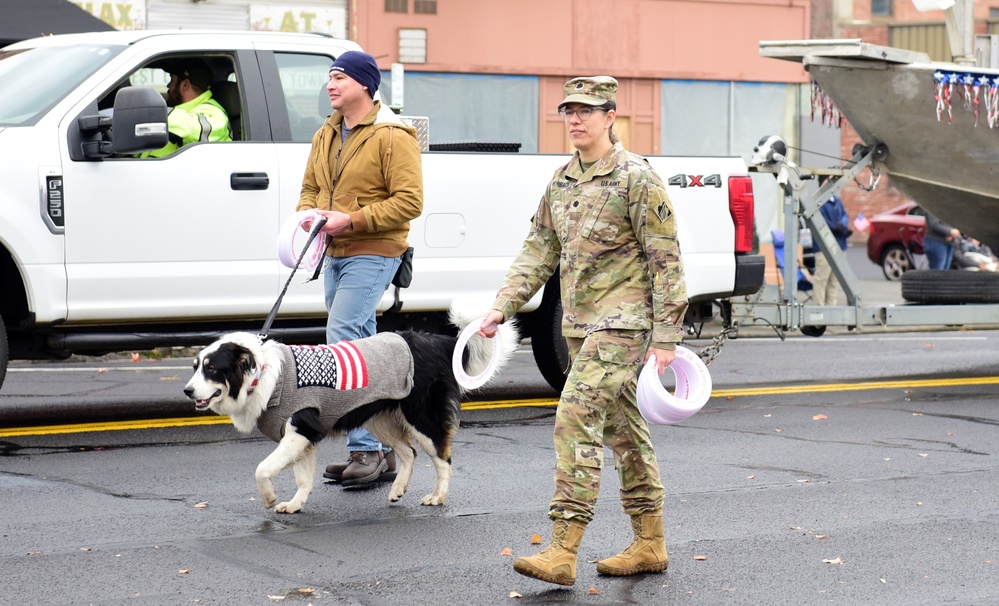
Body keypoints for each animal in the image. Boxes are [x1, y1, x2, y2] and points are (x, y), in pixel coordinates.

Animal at [183, 312, 520, 516]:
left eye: (212, 369)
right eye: (195, 366)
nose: (187, 391)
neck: (263, 374)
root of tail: (436, 341)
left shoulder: (300, 429)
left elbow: (262, 469)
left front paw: (269, 498)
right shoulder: (303, 437)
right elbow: (303, 479)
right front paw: (295, 504)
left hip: (420, 417)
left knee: (443, 458)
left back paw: (438, 496)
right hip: (379, 418)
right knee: (408, 453)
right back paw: (398, 489)